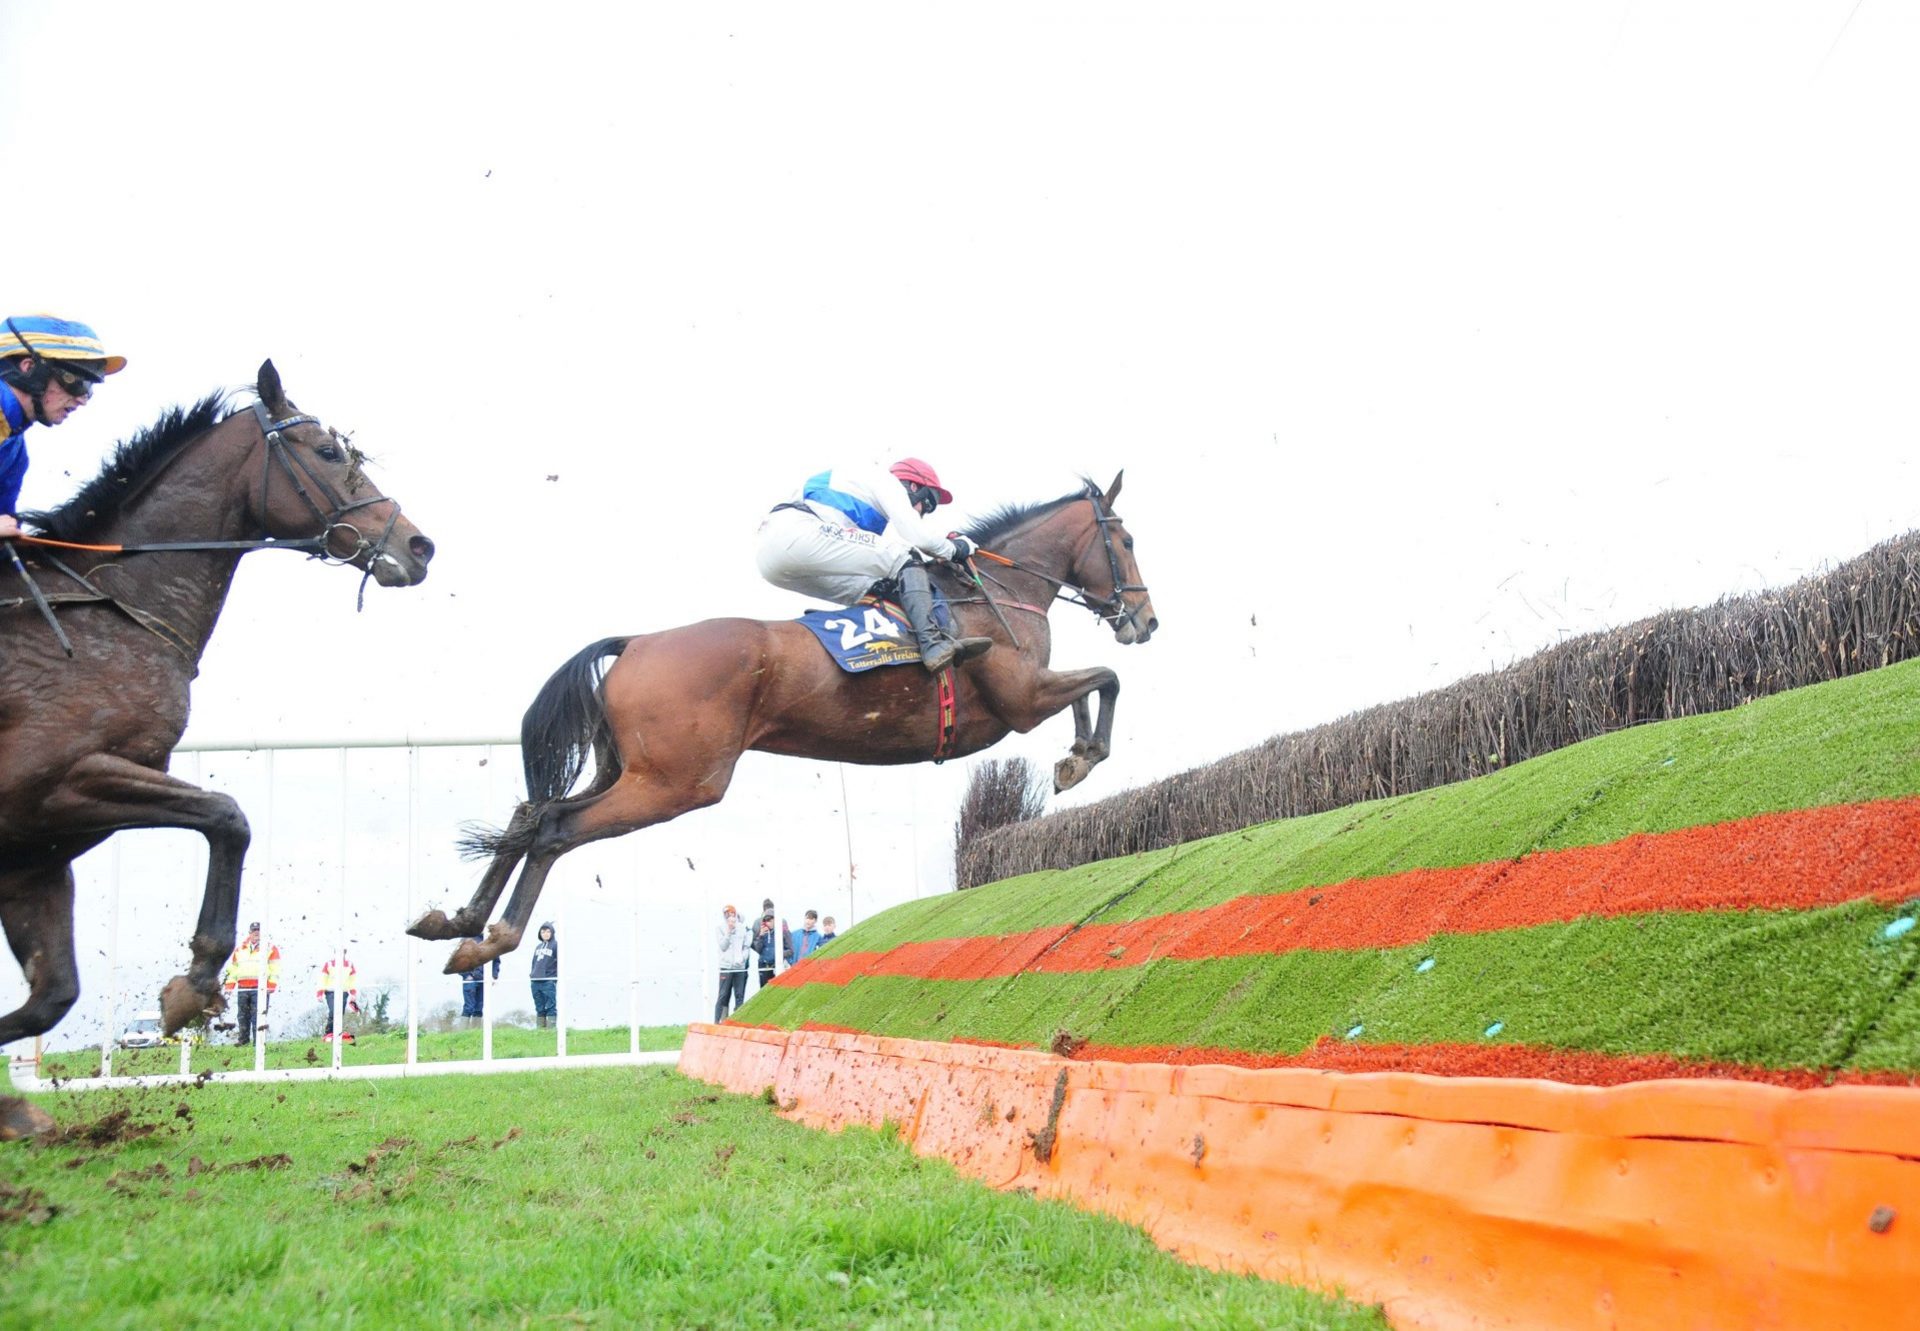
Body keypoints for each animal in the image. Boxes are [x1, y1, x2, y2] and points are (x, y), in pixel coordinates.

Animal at [0, 359, 435, 1137]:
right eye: (329, 452)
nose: (419, 546)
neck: (112, 609)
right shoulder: (57, 784)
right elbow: (229, 815)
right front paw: (194, 985)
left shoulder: (35, 851)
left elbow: (50, 997)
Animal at [416, 472, 1152, 971]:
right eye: (1125, 538)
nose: (1144, 619)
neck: (996, 593)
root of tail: (637, 643)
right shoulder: (1020, 700)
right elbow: (1106, 680)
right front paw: (1081, 757)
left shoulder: (1031, 693)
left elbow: (1093, 687)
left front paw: (1075, 754)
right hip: (674, 782)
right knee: (555, 830)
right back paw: (492, 938)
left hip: (626, 770)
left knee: (531, 816)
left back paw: (459, 919)